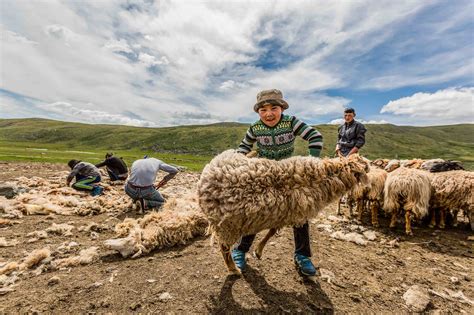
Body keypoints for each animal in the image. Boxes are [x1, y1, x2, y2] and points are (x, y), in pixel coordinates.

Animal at [196, 149, 370, 276]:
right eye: (365, 166)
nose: (370, 167)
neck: (324, 177)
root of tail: (207, 173)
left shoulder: (284, 213)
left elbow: (273, 231)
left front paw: (258, 251)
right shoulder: (296, 213)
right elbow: (273, 231)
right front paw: (258, 250)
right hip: (228, 224)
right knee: (224, 247)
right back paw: (234, 269)